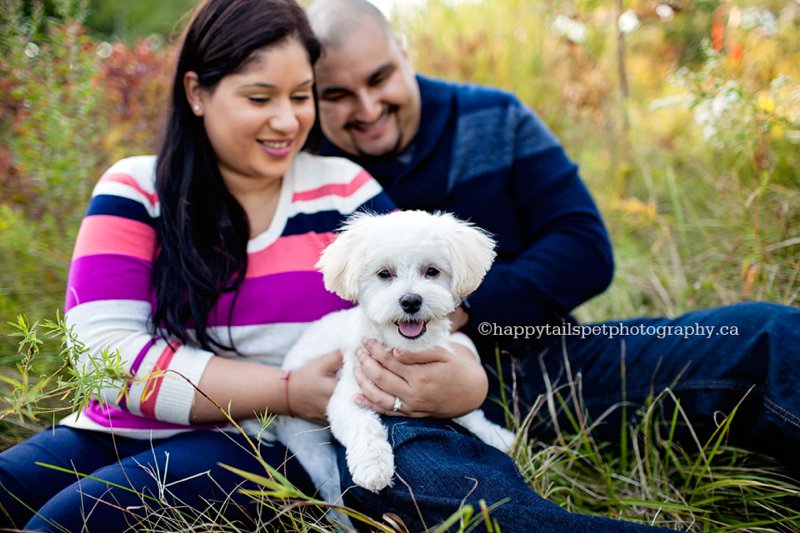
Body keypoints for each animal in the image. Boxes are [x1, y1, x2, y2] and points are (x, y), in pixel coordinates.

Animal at [272, 208, 516, 502]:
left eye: (431, 271)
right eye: (384, 274)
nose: (410, 301)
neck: (400, 346)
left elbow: (468, 413)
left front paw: (495, 435)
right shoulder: (348, 394)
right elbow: (363, 426)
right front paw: (373, 466)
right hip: (310, 446)